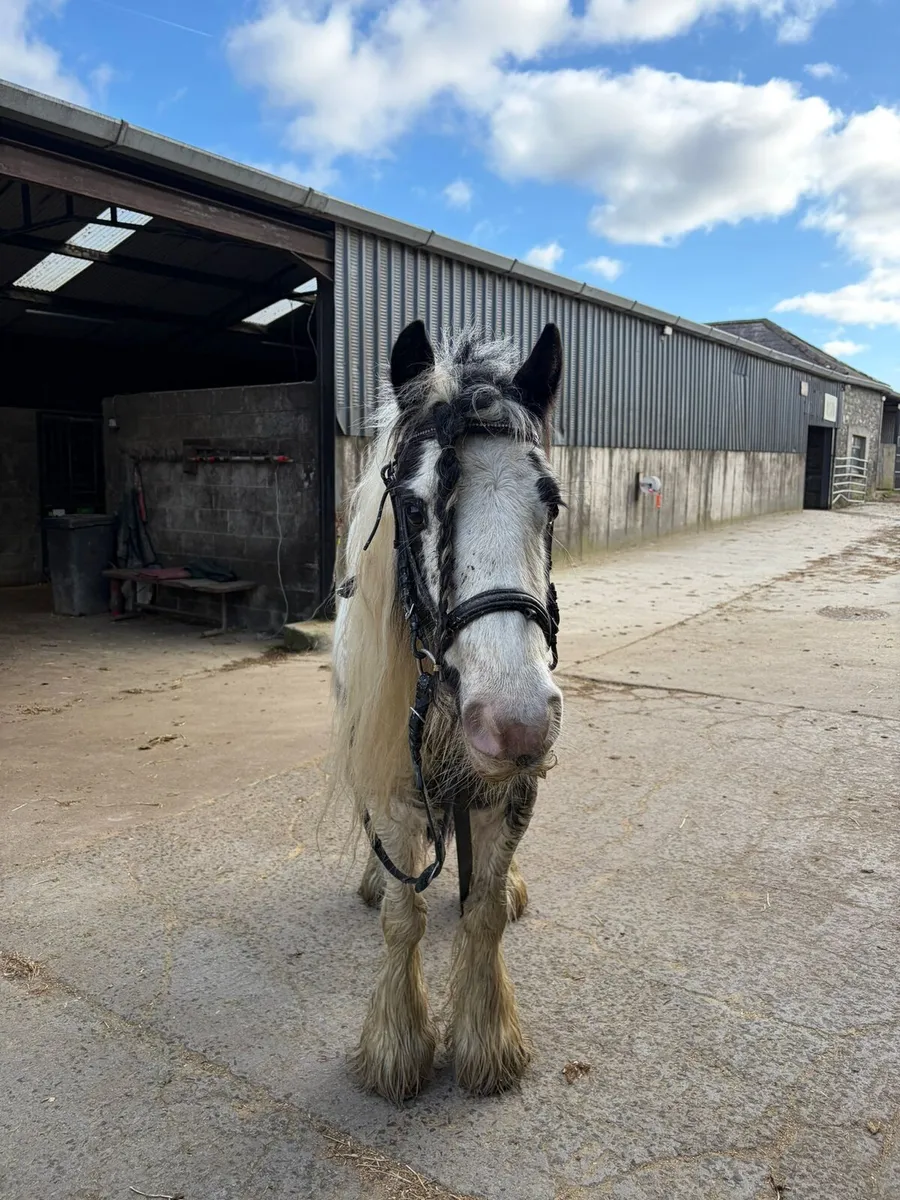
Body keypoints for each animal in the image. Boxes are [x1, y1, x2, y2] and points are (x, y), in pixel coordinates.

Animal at [331, 319, 565, 1102]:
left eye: (551, 504)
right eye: (412, 507)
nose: (517, 724)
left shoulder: (511, 790)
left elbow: (483, 911)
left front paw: (487, 1041)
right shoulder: (389, 783)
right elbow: (403, 917)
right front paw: (397, 1046)